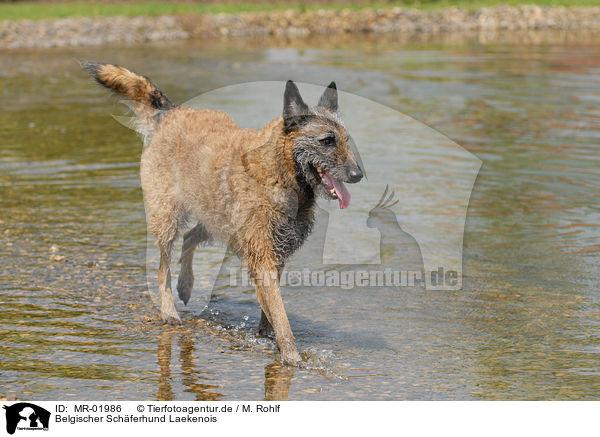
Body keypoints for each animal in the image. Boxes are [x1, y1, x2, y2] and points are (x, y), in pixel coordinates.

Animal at [82, 60, 364, 362]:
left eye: (346, 140)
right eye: (327, 140)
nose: (358, 175)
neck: (281, 172)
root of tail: (172, 112)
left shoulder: (275, 258)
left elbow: (270, 313)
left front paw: (266, 336)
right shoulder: (264, 260)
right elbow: (282, 319)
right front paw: (293, 358)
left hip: (216, 219)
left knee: (190, 237)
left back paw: (186, 285)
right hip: (168, 217)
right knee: (162, 267)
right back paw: (169, 310)